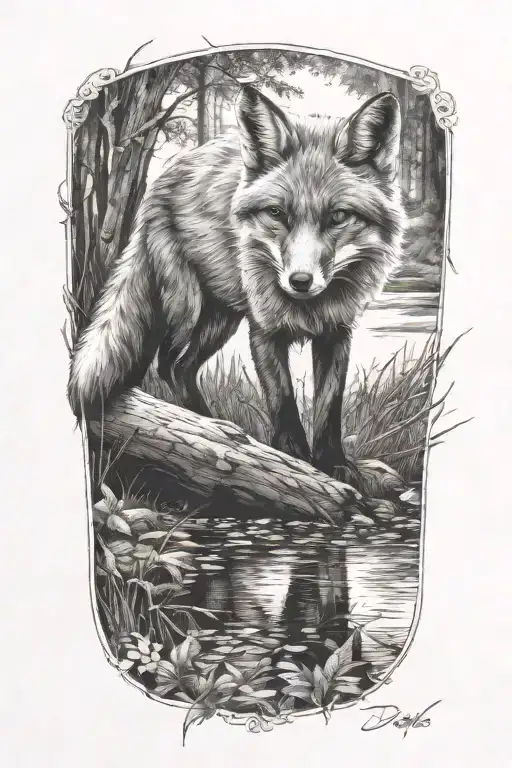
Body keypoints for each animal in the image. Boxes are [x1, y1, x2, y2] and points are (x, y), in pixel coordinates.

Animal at [68, 85, 404, 481]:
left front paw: (333, 463)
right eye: (277, 213)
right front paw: (294, 459)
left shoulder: (336, 333)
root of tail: (166, 176)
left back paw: (208, 422)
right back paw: (208, 426)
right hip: (188, 308)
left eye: (337, 216)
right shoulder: (264, 330)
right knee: (166, 362)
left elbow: (329, 406)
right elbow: (283, 400)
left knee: (181, 367)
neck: (307, 309)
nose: (300, 281)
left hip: (222, 319)